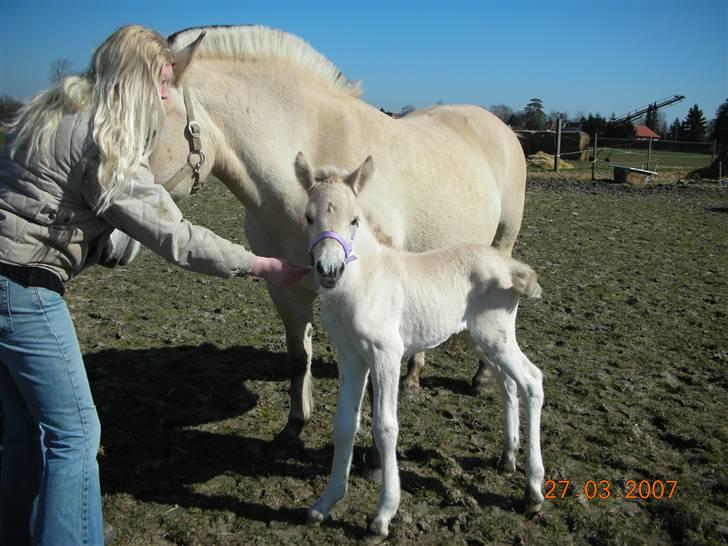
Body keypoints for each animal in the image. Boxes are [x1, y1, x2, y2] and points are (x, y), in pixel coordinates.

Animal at [151, 25, 528, 442]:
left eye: (145, 122)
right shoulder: (286, 288)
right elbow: (299, 356)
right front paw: (295, 426)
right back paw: (413, 379)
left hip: (501, 247)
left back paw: (481, 378)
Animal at [294, 154, 540, 536]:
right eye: (308, 216)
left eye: (354, 219)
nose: (329, 271)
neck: (363, 282)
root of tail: (509, 266)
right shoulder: (350, 356)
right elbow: (345, 424)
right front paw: (325, 504)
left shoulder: (386, 354)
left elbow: (385, 427)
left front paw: (382, 515)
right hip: (483, 340)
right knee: (508, 383)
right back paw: (507, 457)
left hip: (494, 336)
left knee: (532, 381)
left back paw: (533, 491)